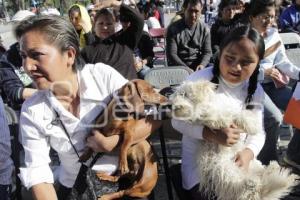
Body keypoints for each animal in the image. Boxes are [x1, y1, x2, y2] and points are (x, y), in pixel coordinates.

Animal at [170, 80, 298, 200]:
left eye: (184, 94)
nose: (172, 106)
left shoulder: (230, 111)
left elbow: (240, 114)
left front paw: (252, 126)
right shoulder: (204, 119)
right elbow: (210, 118)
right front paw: (218, 120)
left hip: (253, 165)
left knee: (263, 179)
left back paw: (273, 169)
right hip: (223, 168)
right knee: (244, 188)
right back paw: (252, 183)